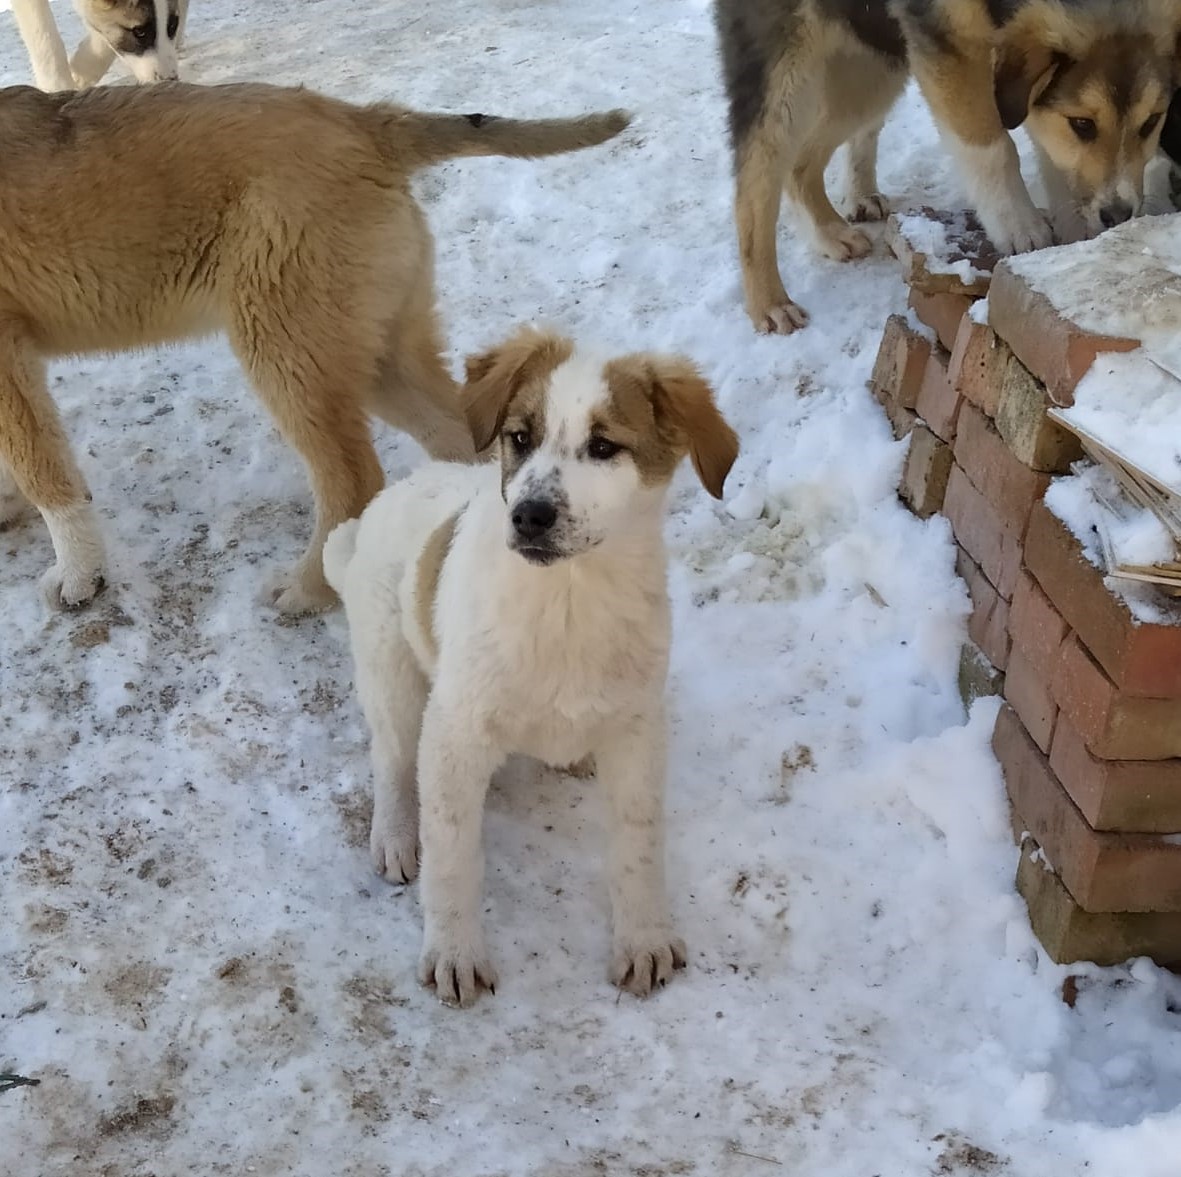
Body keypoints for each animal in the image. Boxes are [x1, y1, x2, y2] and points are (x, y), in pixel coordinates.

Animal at [0, 82, 629, 614]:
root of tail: (367, 120)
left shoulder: (10, 355)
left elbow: (42, 468)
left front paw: (79, 576)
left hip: (286, 347)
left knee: (353, 480)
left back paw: (307, 588)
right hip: (379, 353)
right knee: (459, 442)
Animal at [10, 0, 187, 91]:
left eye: (172, 26)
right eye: (139, 32)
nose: (170, 81)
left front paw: (82, 72)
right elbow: (44, 36)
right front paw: (59, 89)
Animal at [323, 326, 740, 1007]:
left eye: (604, 446)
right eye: (520, 436)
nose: (529, 516)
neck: (568, 598)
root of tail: (383, 501)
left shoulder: (636, 730)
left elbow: (639, 843)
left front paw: (644, 939)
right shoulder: (455, 733)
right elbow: (453, 856)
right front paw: (456, 954)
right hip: (392, 673)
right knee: (390, 758)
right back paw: (395, 835)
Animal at [714, 0, 1181, 333]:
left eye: (1151, 123)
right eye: (1083, 124)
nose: (1119, 214)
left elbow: (1053, 155)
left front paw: (1074, 234)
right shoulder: (948, 46)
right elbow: (994, 147)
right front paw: (1019, 225)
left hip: (876, 60)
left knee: (805, 162)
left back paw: (832, 229)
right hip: (787, 72)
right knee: (758, 175)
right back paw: (770, 301)